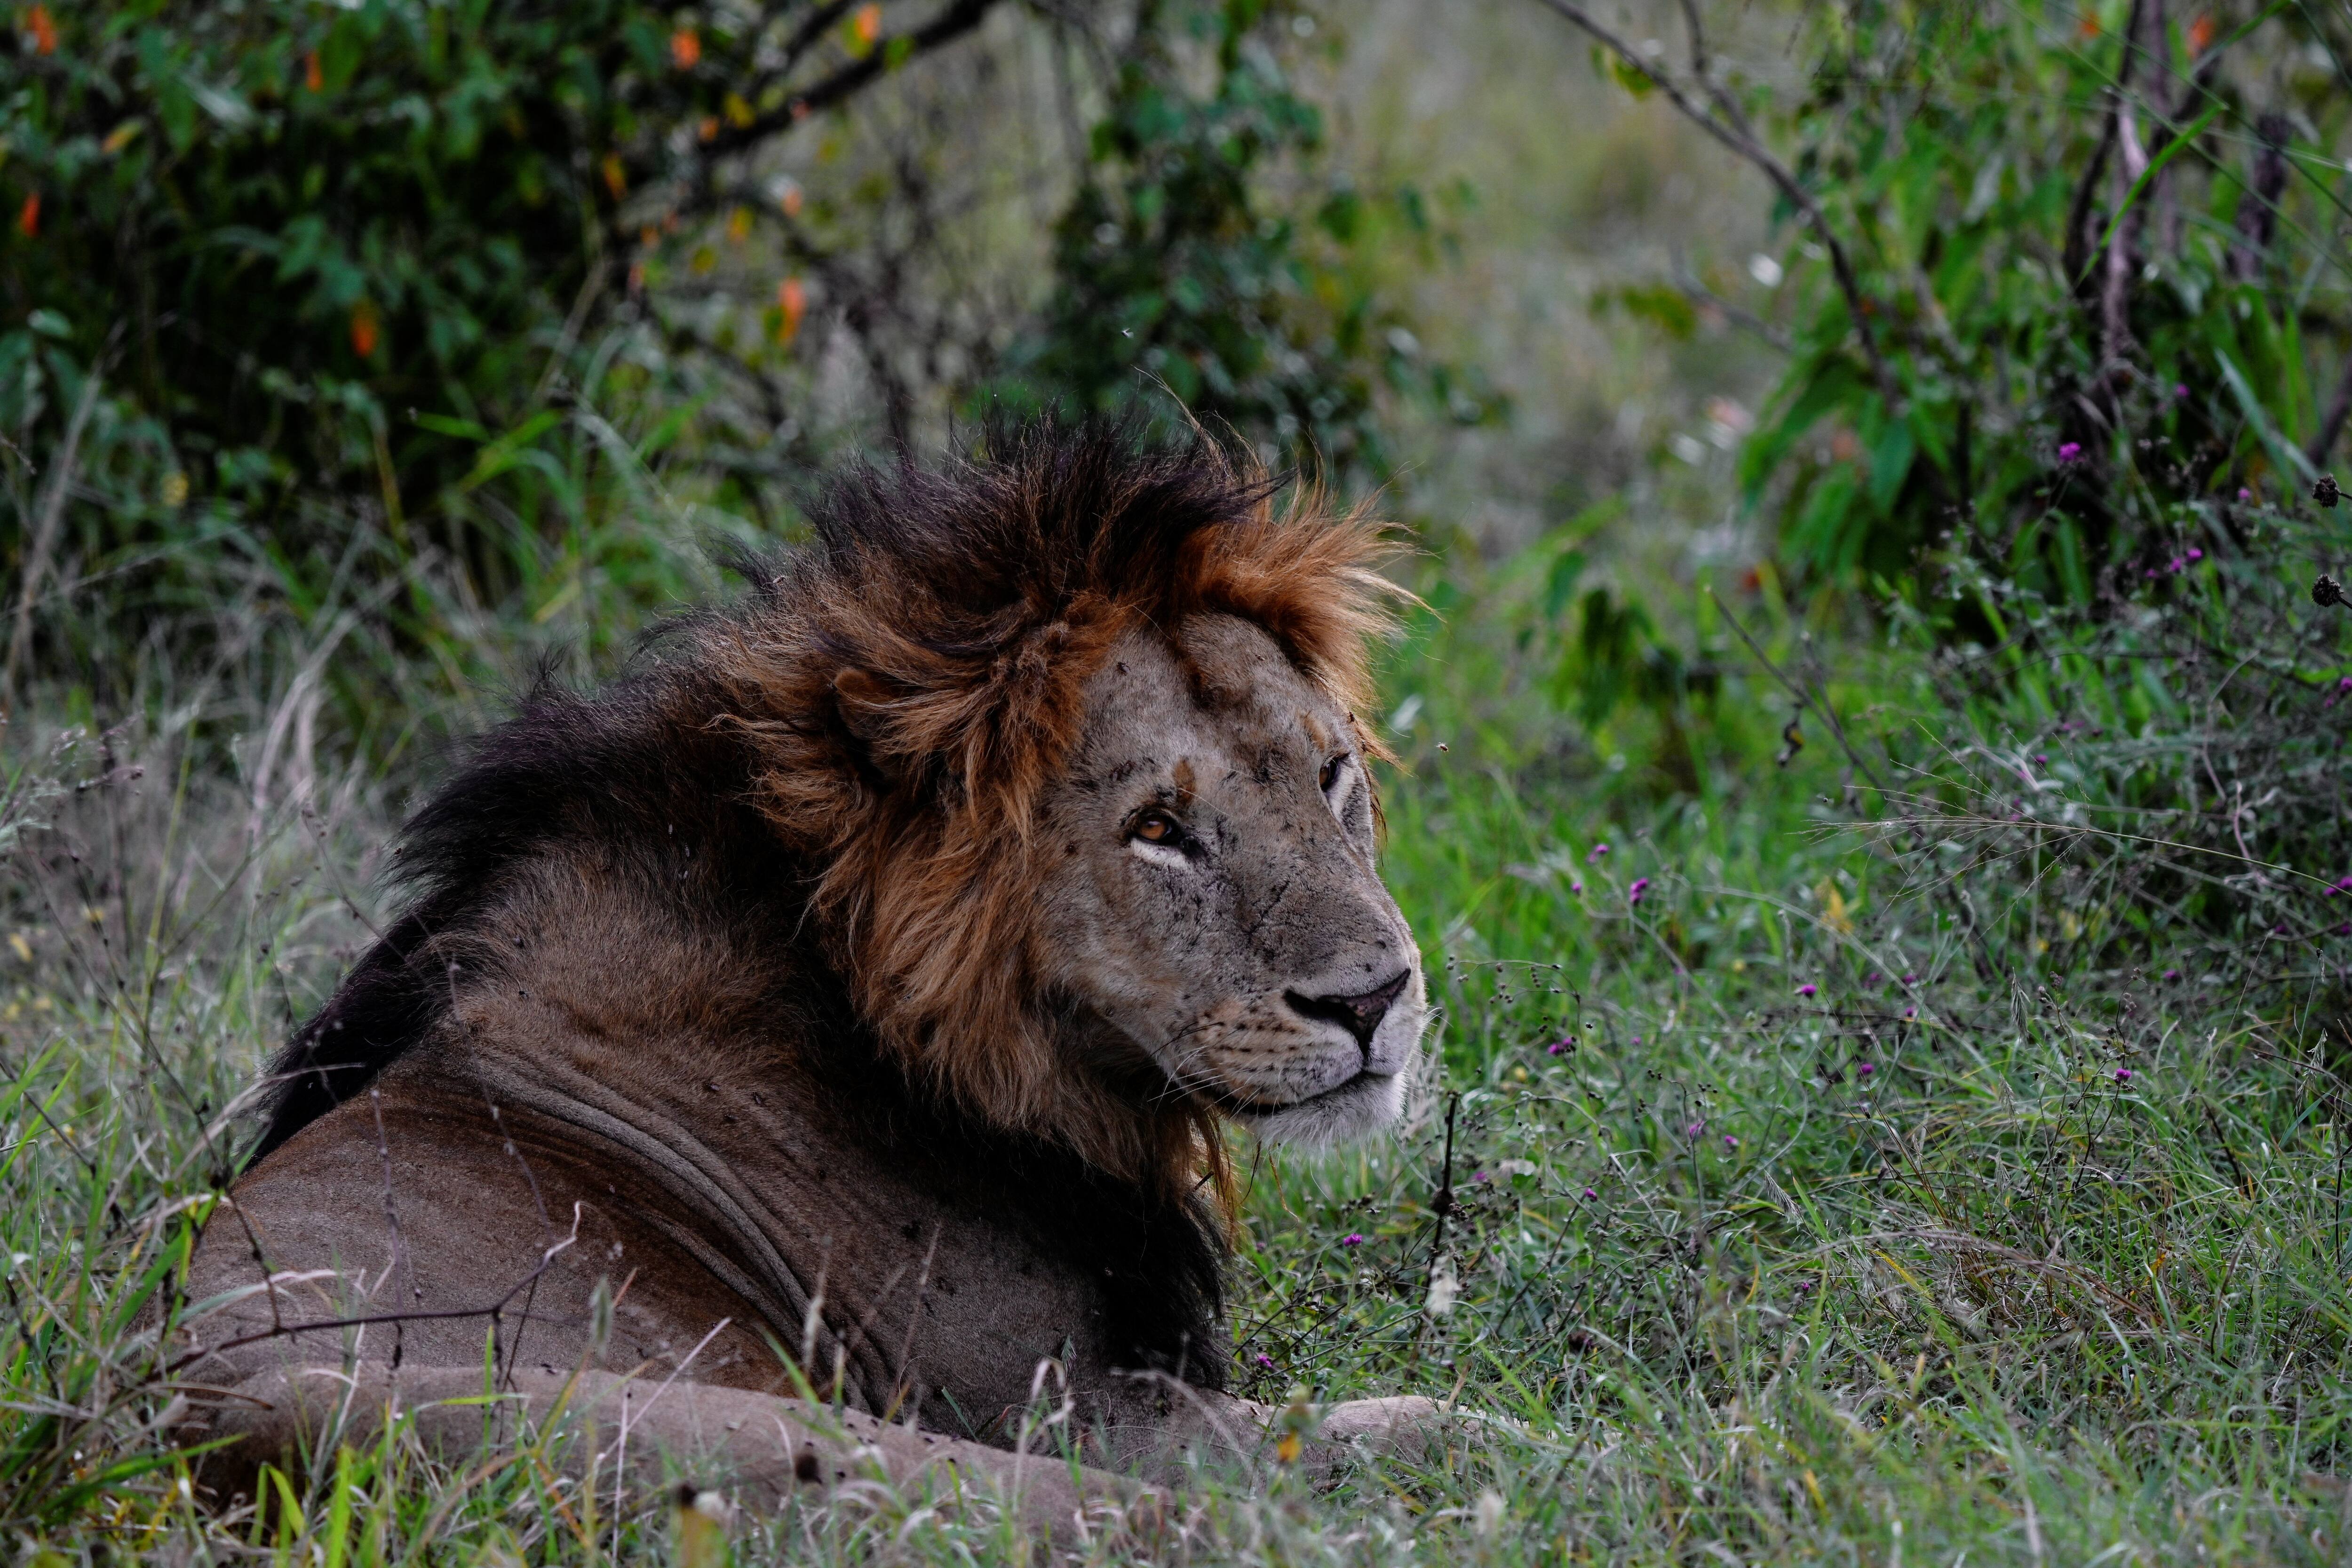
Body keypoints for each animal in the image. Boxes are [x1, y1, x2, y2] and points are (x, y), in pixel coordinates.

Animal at [171, 421, 1439, 1535]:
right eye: (1160, 829)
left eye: (1331, 774)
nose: (1375, 998)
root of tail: (213, 1433)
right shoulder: (1072, 1404)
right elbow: (1392, 1426)